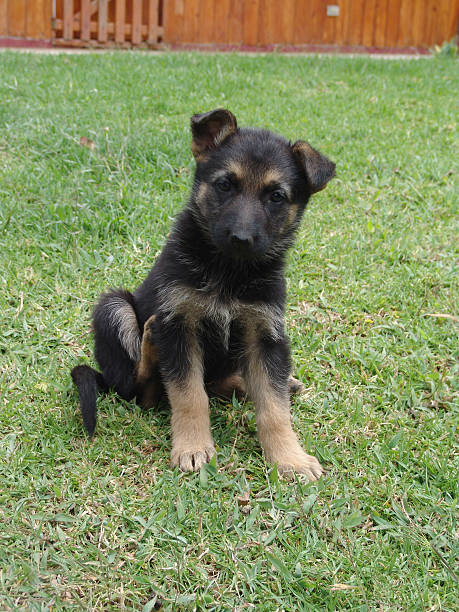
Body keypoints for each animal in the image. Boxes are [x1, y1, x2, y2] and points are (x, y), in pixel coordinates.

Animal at [71, 110, 334, 482]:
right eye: (225, 185)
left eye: (276, 197)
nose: (240, 238)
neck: (228, 271)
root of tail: (104, 377)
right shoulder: (180, 325)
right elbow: (189, 395)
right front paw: (192, 448)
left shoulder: (265, 333)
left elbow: (274, 405)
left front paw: (289, 458)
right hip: (115, 307)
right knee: (141, 388)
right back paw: (149, 344)